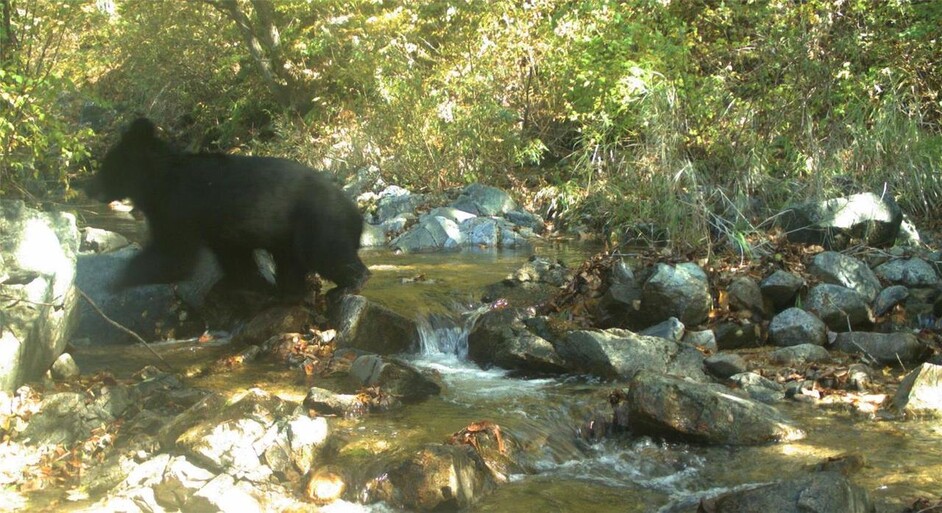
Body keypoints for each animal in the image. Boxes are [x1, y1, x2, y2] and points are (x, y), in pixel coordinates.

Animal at [88, 117, 368, 296]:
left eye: (106, 167)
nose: (89, 187)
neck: (157, 182)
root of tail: (355, 212)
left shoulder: (178, 208)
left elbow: (174, 256)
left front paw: (116, 281)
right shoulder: (220, 231)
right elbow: (233, 257)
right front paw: (246, 283)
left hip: (317, 222)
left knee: (328, 253)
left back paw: (353, 281)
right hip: (288, 235)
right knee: (294, 263)